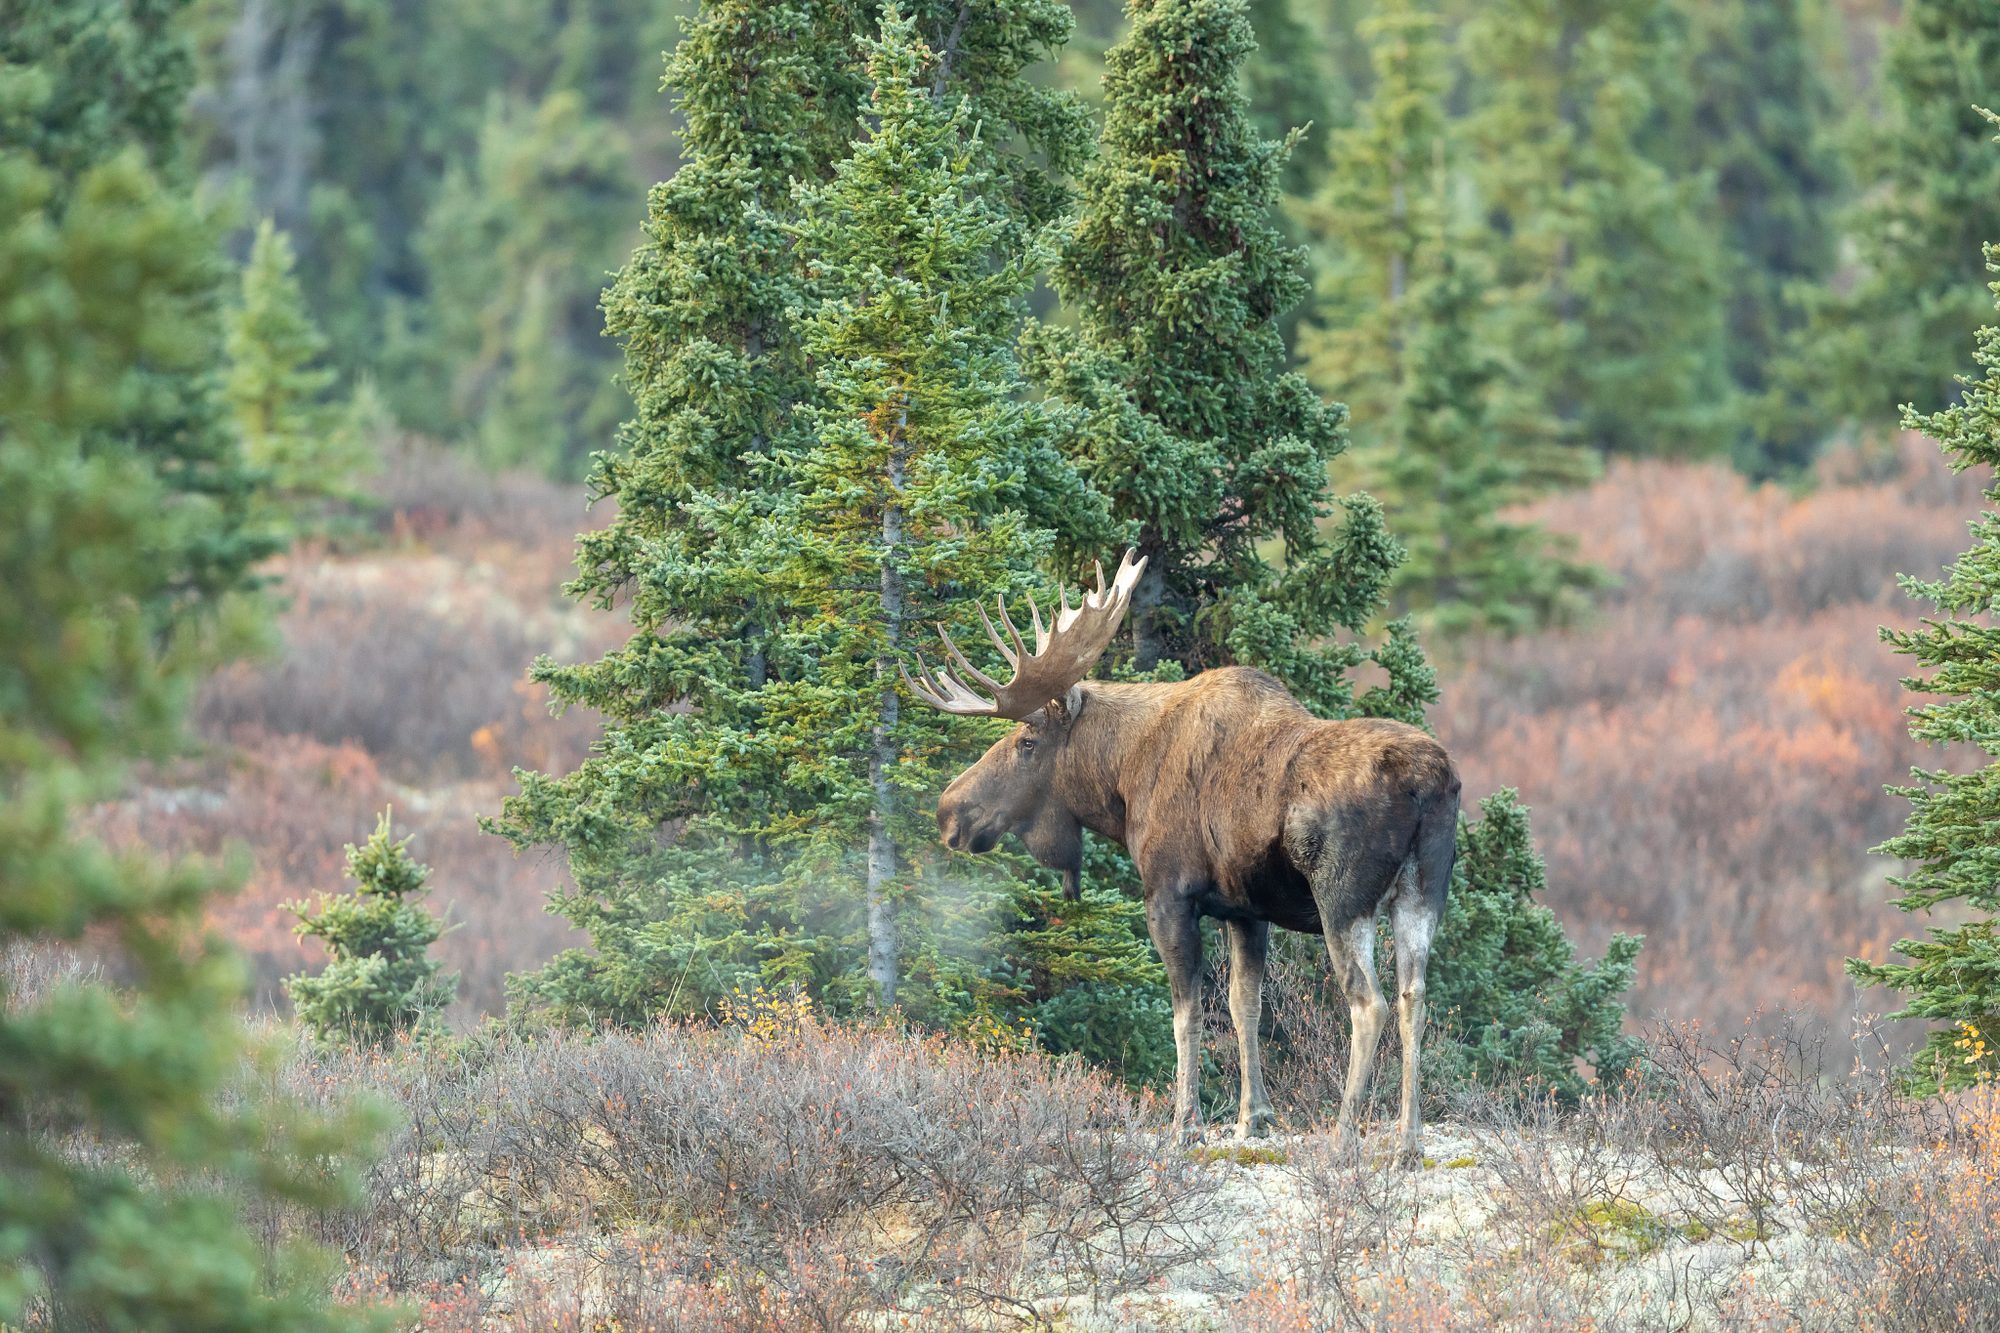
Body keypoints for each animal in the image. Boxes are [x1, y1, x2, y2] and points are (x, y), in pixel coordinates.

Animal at [900, 550, 1460, 1165]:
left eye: (1027, 742)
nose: (950, 811)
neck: (1121, 781)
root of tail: (1430, 782)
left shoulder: (1169, 895)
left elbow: (1185, 1014)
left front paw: (1184, 1123)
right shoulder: (1246, 911)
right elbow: (1244, 1007)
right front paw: (1252, 1118)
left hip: (1342, 898)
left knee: (1369, 1003)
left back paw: (1344, 1135)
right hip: (1422, 894)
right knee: (1414, 998)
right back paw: (1408, 1140)